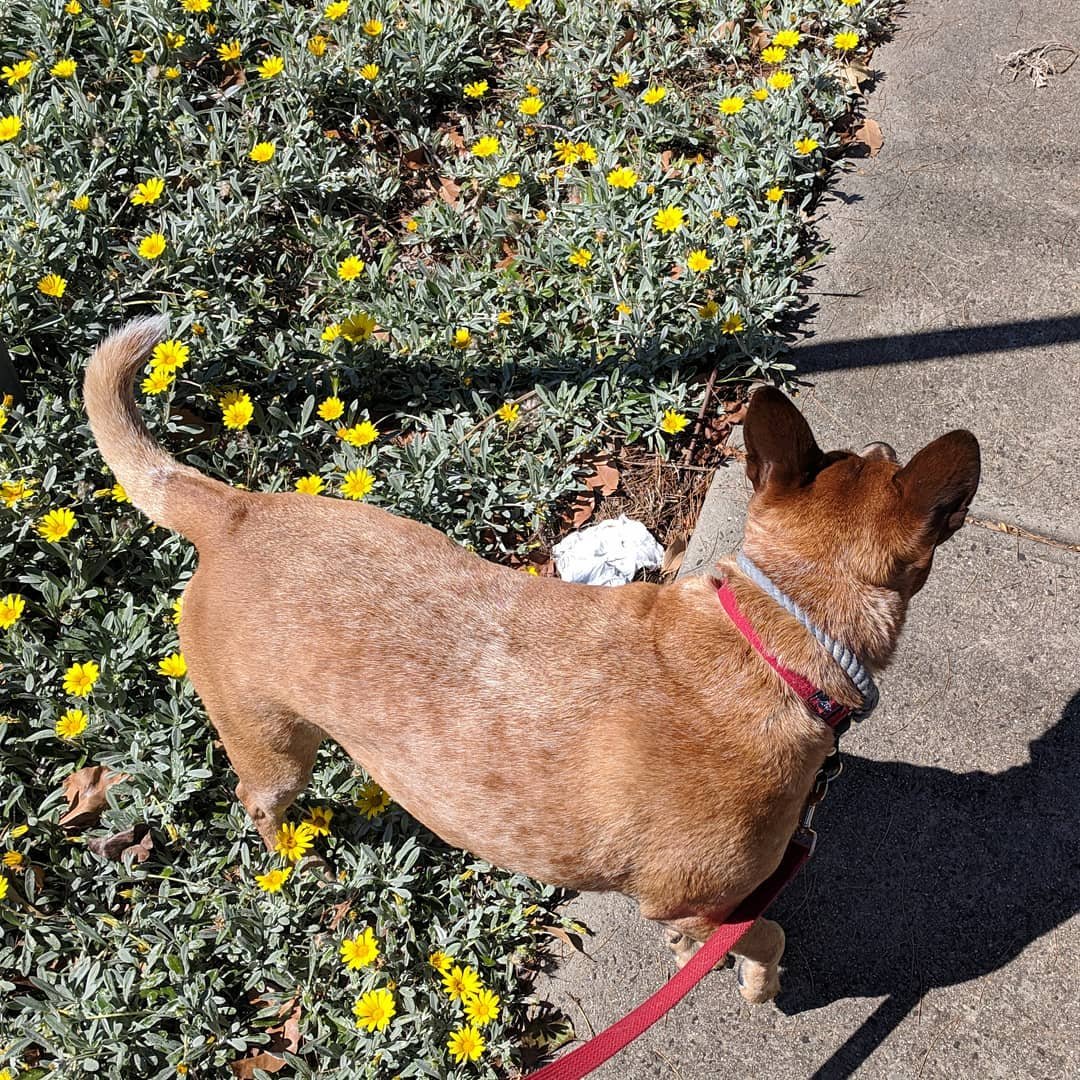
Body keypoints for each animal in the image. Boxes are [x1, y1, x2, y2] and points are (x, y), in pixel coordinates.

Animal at [84, 319, 980, 1002]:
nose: (885, 440)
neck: (771, 631)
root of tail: (233, 511)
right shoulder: (692, 904)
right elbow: (766, 933)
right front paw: (758, 984)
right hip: (273, 750)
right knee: (258, 801)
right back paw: (292, 857)